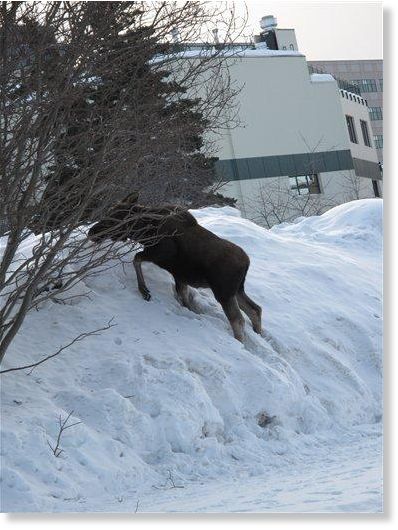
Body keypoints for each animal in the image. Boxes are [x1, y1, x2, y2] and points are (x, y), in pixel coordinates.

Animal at [88, 192, 262, 340]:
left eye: (114, 218)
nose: (91, 232)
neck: (145, 232)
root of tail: (247, 263)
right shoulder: (180, 275)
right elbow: (184, 298)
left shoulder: (161, 253)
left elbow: (136, 259)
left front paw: (144, 290)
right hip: (237, 290)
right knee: (255, 309)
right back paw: (257, 333)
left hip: (223, 292)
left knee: (238, 319)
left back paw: (239, 341)